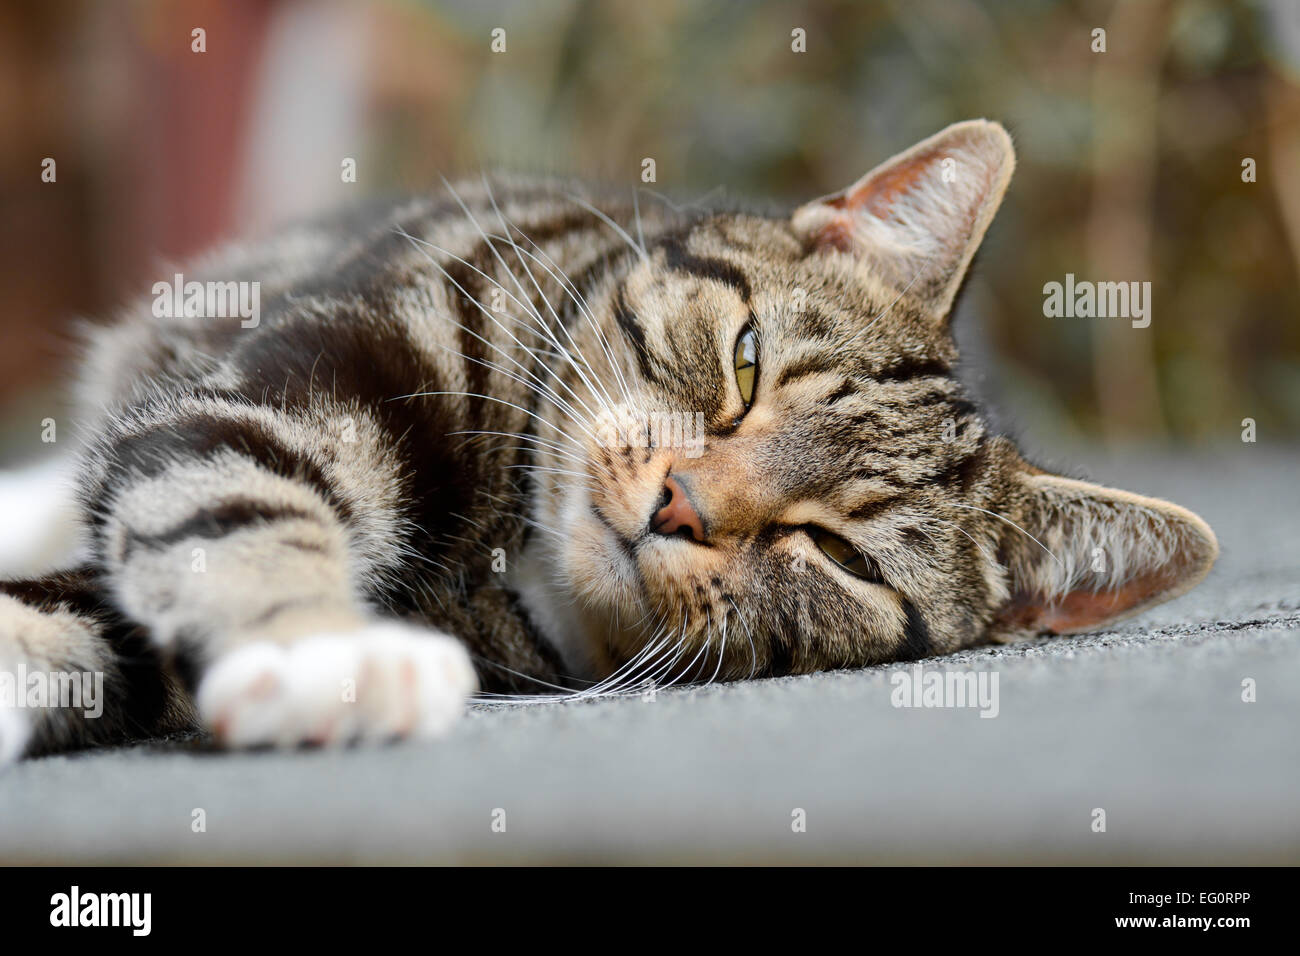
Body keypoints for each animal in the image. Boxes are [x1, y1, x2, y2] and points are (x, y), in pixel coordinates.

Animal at [0, 121, 1216, 764]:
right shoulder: (296, 380)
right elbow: (235, 492)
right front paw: (324, 649)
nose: (680, 502)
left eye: (844, 557)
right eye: (744, 362)